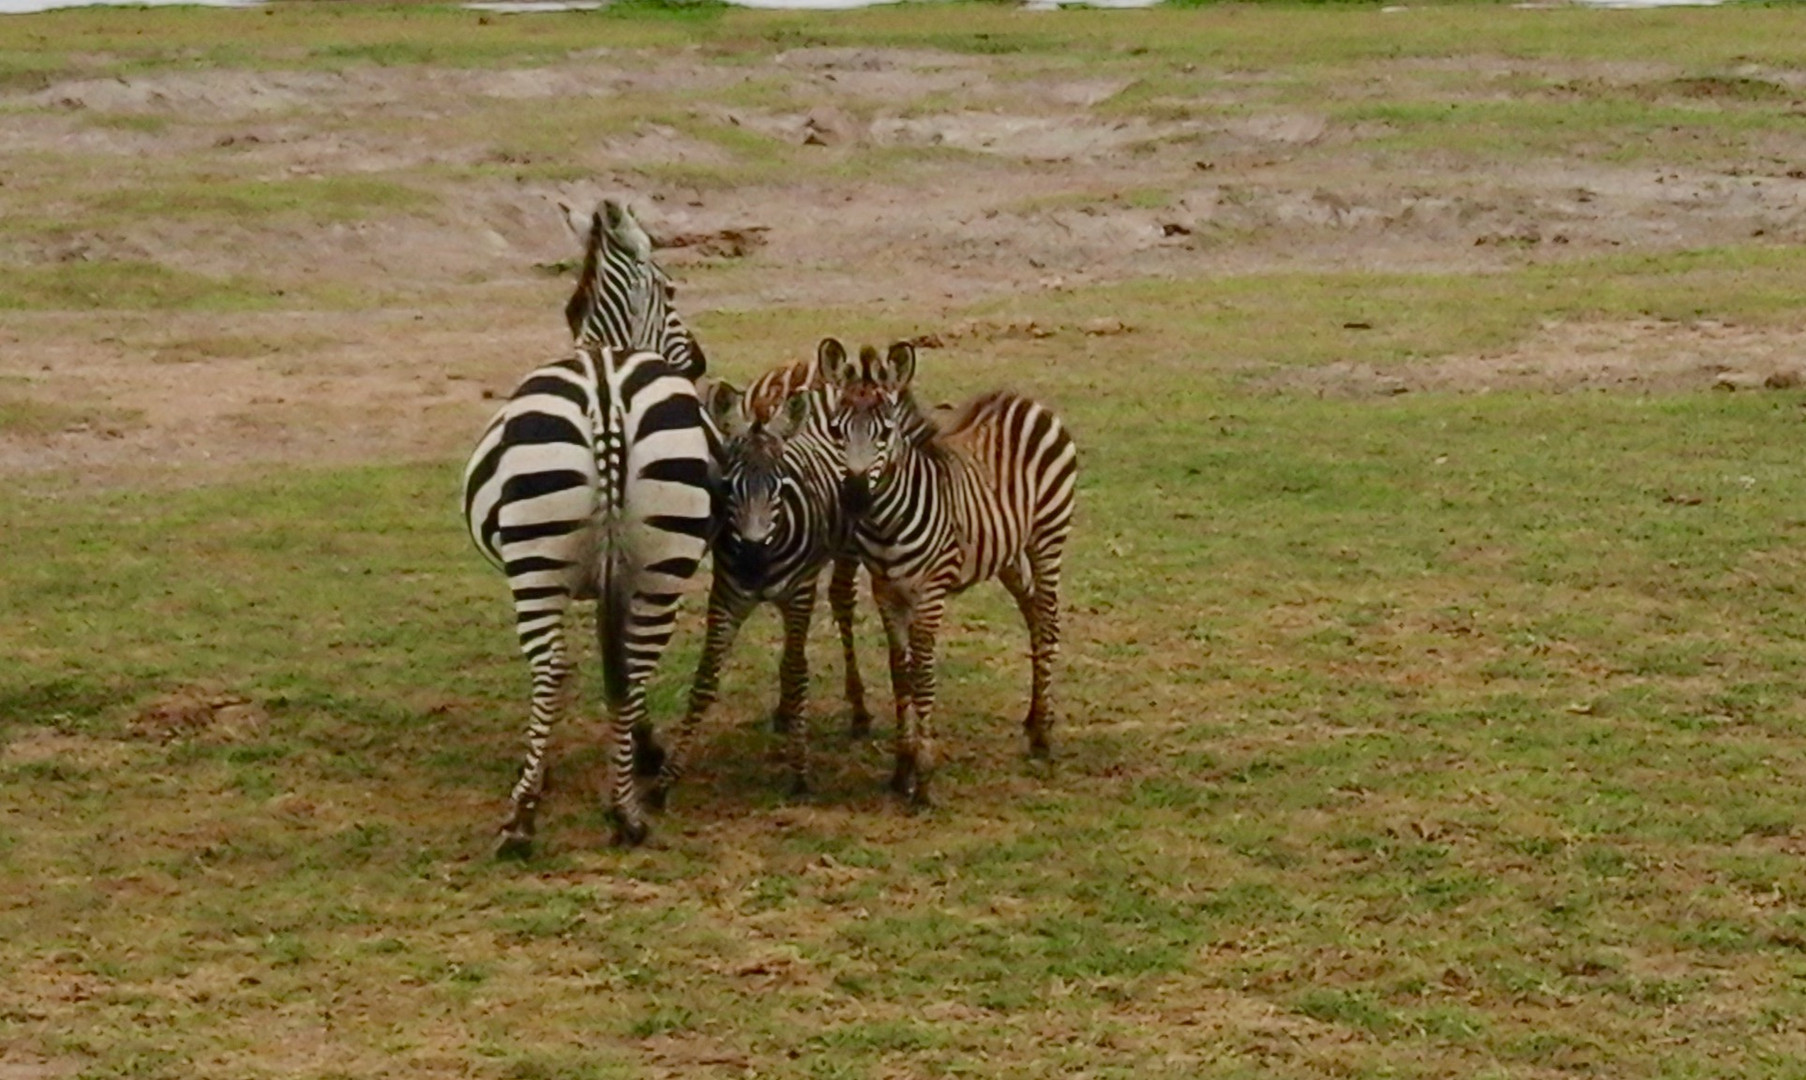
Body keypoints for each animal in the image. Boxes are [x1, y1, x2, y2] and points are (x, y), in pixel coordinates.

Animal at [462, 196, 715, 856]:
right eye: (672, 290)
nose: (700, 361)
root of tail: (605, 392)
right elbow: (618, 670)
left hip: (548, 566)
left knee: (558, 666)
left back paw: (555, 812)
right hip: (646, 560)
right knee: (606, 662)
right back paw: (587, 811)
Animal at [660, 343, 870, 809]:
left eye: (781, 485)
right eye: (727, 485)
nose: (753, 561)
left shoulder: (799, 595)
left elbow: (797, 671)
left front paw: (800, 772)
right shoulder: (726, 596)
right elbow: (705, 678)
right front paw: (668, 776)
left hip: (846, 554)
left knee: (842, 605)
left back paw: (859, 711)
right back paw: (786, 713)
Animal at [827, 343, 1076, 809]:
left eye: (885, 432)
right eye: (837, 430)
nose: (853, 498)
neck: (887, 522)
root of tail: (1022, 399)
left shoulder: (929, 593)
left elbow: (923, 674)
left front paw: (923, 776)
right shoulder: (886, 591)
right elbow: (900, 672)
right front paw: (901, 768)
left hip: (1048, 536)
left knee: (1049, 619)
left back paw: (1043, 736)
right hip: (1005, 551)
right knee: (1034, 614)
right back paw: (1034, 719)